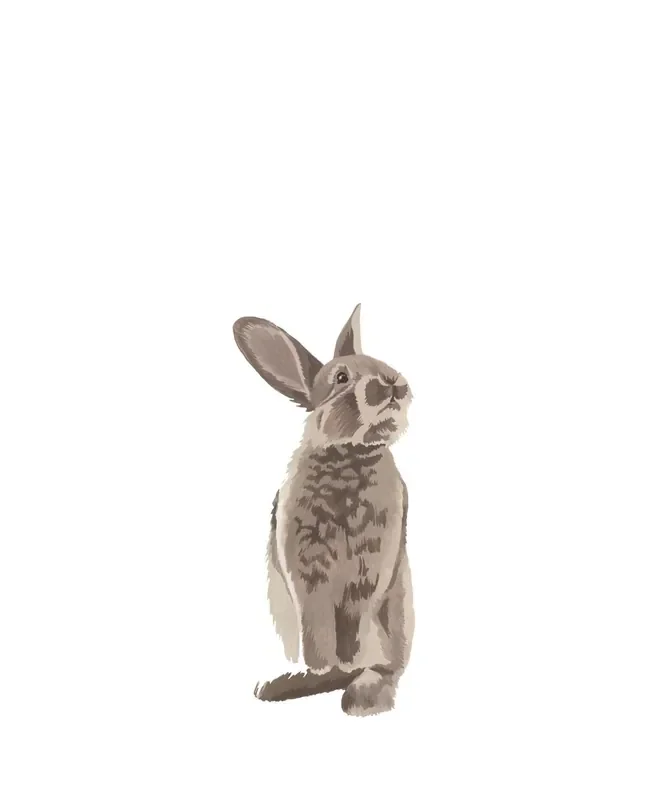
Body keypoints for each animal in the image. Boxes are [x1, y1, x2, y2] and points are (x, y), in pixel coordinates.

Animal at [233, 304, 413, 716]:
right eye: (341, 378)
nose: (393, 382)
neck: (349, 454)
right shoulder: (307, 575)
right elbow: (316, 626)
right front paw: (323, 665)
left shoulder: (371, 572)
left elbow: (355, 619)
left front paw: (345, 662)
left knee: (386, 669)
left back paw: (362, 695)